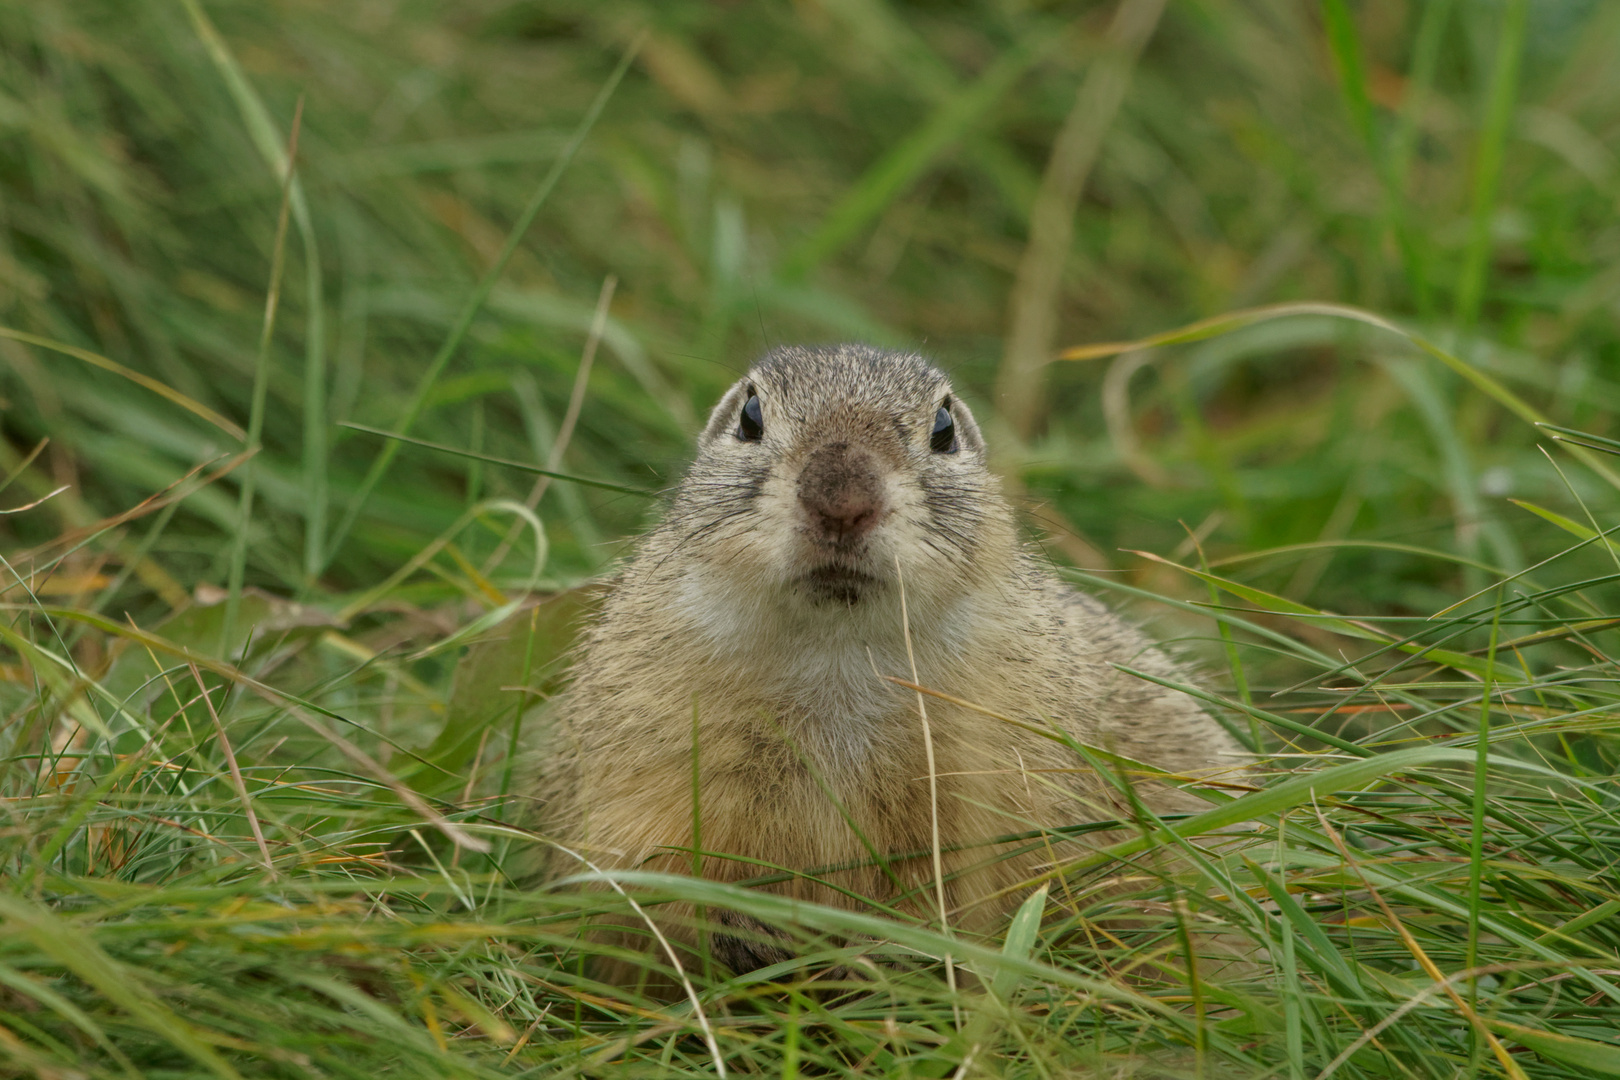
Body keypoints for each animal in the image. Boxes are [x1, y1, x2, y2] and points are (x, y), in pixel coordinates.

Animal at [537, 346, 1244, 977]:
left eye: (944, 429)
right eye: (750, 416)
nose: (841, 500)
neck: (838, 658)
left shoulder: (1003, 768)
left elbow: (1001, 879)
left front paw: (900, 947)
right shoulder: (652, 749)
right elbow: (646, 867)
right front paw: (745, 929)